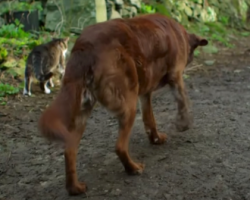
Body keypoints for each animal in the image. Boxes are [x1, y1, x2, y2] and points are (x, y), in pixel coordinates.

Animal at [38, 13, 208, 195]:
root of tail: (84, 47)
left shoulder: (145, 94)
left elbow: (150, 119)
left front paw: (156, 139)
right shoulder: (176, 75)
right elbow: (183, 100)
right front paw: (184, 124)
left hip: (82, 112)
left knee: (69, 151)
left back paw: (75, 188)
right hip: (128, 104)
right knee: (119, 146)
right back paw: (132, 168)